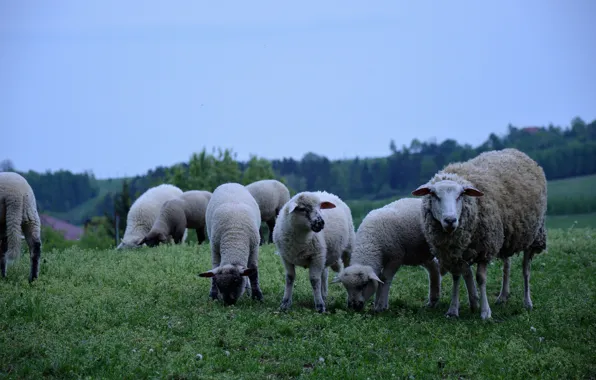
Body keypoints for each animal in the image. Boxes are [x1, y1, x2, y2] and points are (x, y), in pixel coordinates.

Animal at [412, 147, 548, 320]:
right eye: (434, 195)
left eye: (460, 195)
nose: (450, 220)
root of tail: (514, 150)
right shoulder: (454, 253)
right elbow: (456, 276)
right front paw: (453, 310)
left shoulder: (485, 248)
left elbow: (481, 278)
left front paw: (485, 312)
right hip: (505, 236)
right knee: (507, 265)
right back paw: (503, 296)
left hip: (533, 235)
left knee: (526, 270)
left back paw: (527, 302)